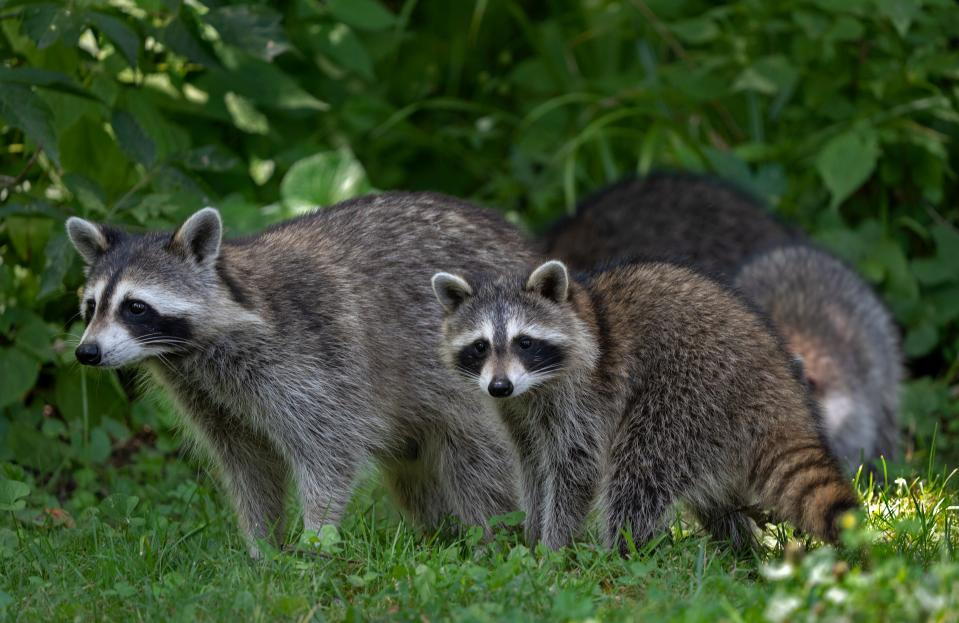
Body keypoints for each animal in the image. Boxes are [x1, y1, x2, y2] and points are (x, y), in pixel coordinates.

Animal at [67, 191, 540, 556]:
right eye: (91, 306)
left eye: (134, 307)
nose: (87, 352)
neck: (188, 352)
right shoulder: (206, 394)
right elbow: (248, 466)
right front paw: (262, 549)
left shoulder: (316, 362)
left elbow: (329, 453)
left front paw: (316, 539)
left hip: (475, 384)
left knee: (478, 459)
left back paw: (494, 537)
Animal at [432, 260, 860, 552]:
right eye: (480, 346)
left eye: (524, 342)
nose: (499, 386)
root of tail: (775, 379)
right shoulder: (519, 413)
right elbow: (533, 466)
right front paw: (533, 536)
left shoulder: (586, 394)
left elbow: (576, 468)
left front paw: (554, 547)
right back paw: (739, 549)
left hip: (690, 393)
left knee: (639, 472)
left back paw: (619, 553)